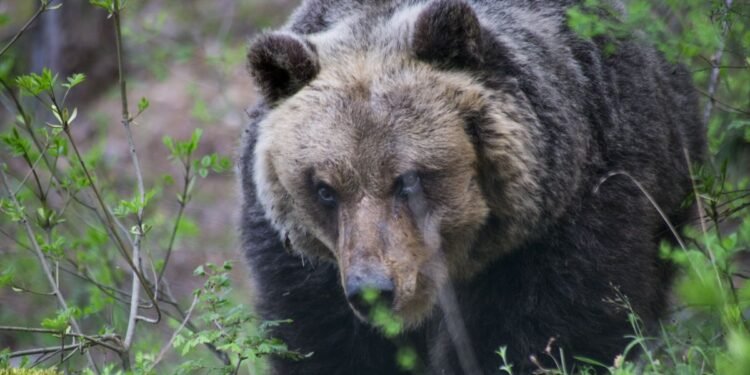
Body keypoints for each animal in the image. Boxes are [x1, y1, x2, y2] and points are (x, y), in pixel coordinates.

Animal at [239, 0, 704, 374]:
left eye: (408, 179)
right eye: (324, 189)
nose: (372, 290)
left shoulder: (574, 214)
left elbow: (556, 328)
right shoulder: (309, 269)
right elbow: (325, 339)